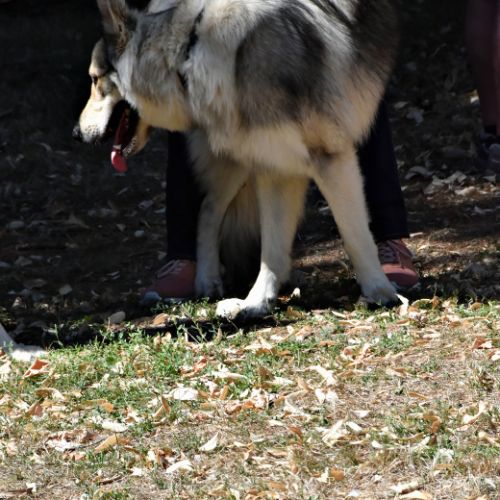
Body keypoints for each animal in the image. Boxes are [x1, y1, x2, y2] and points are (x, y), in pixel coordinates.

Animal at [74, 0, 399, 319]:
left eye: (94, 79)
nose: (76, 133)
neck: (188, 54)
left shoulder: (326, 158)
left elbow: (354, 234)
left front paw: (379, 292)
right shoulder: (276, 165)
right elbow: (272, 248)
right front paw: (255, 303)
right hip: (236, 160)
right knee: (207, 210)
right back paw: (207, 281)